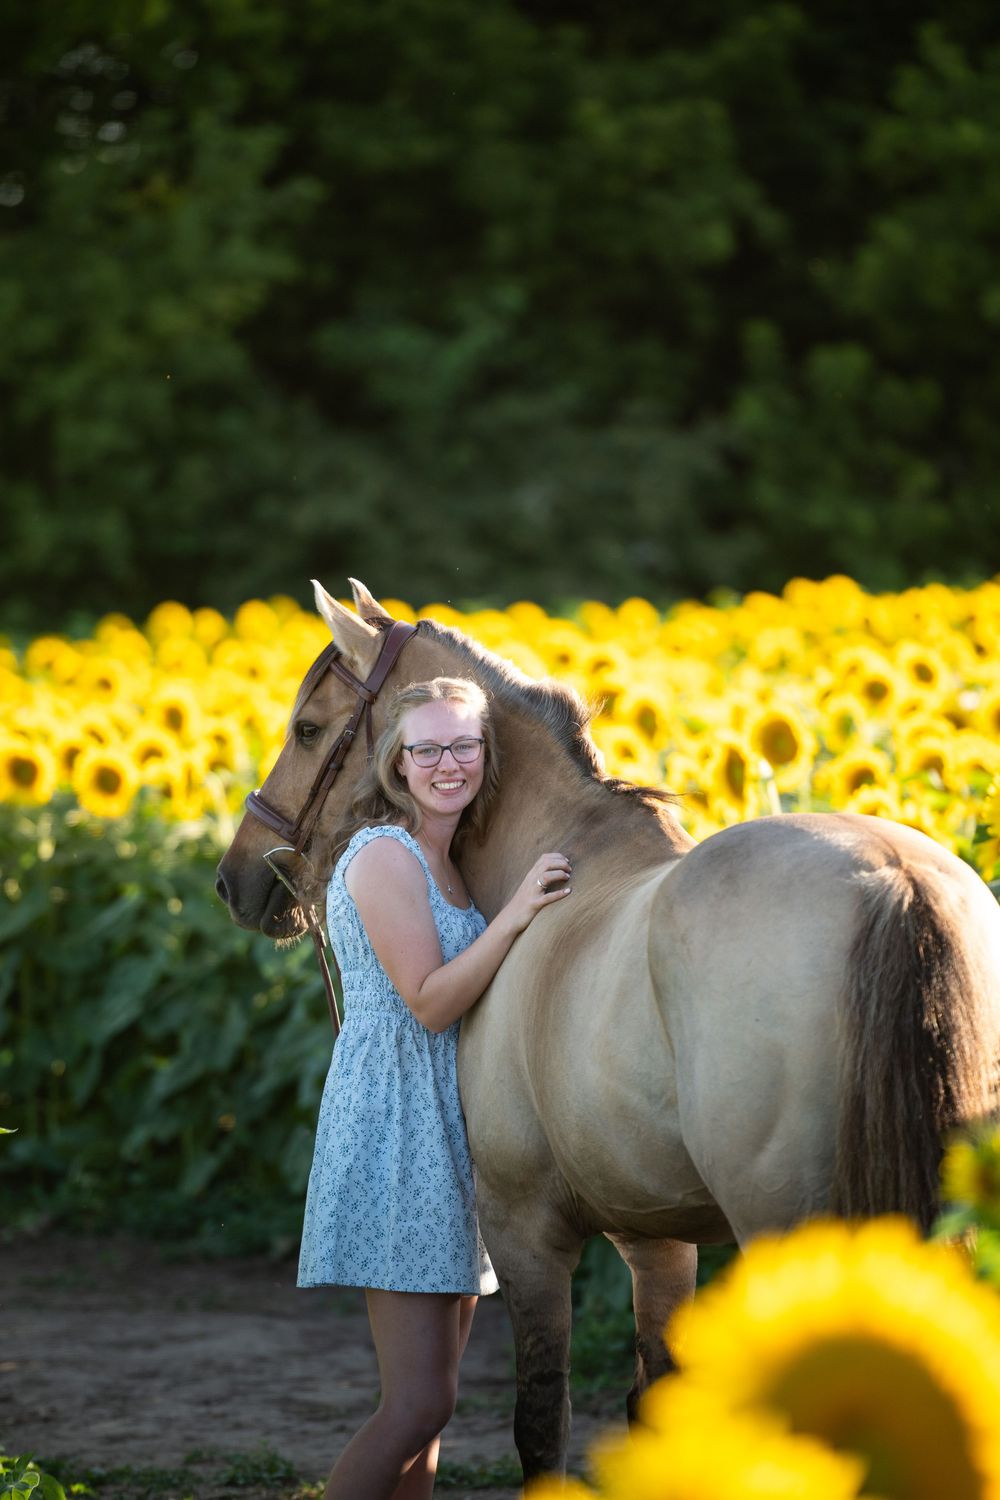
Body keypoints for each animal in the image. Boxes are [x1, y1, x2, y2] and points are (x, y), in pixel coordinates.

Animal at [216, 578, 1000, 1481]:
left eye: (308, 729)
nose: (233, 879)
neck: (566, 862)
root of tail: (893, 877)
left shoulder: (526, 1231)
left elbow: (540, 1420)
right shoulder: (656, 1239)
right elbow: (654, 1403)